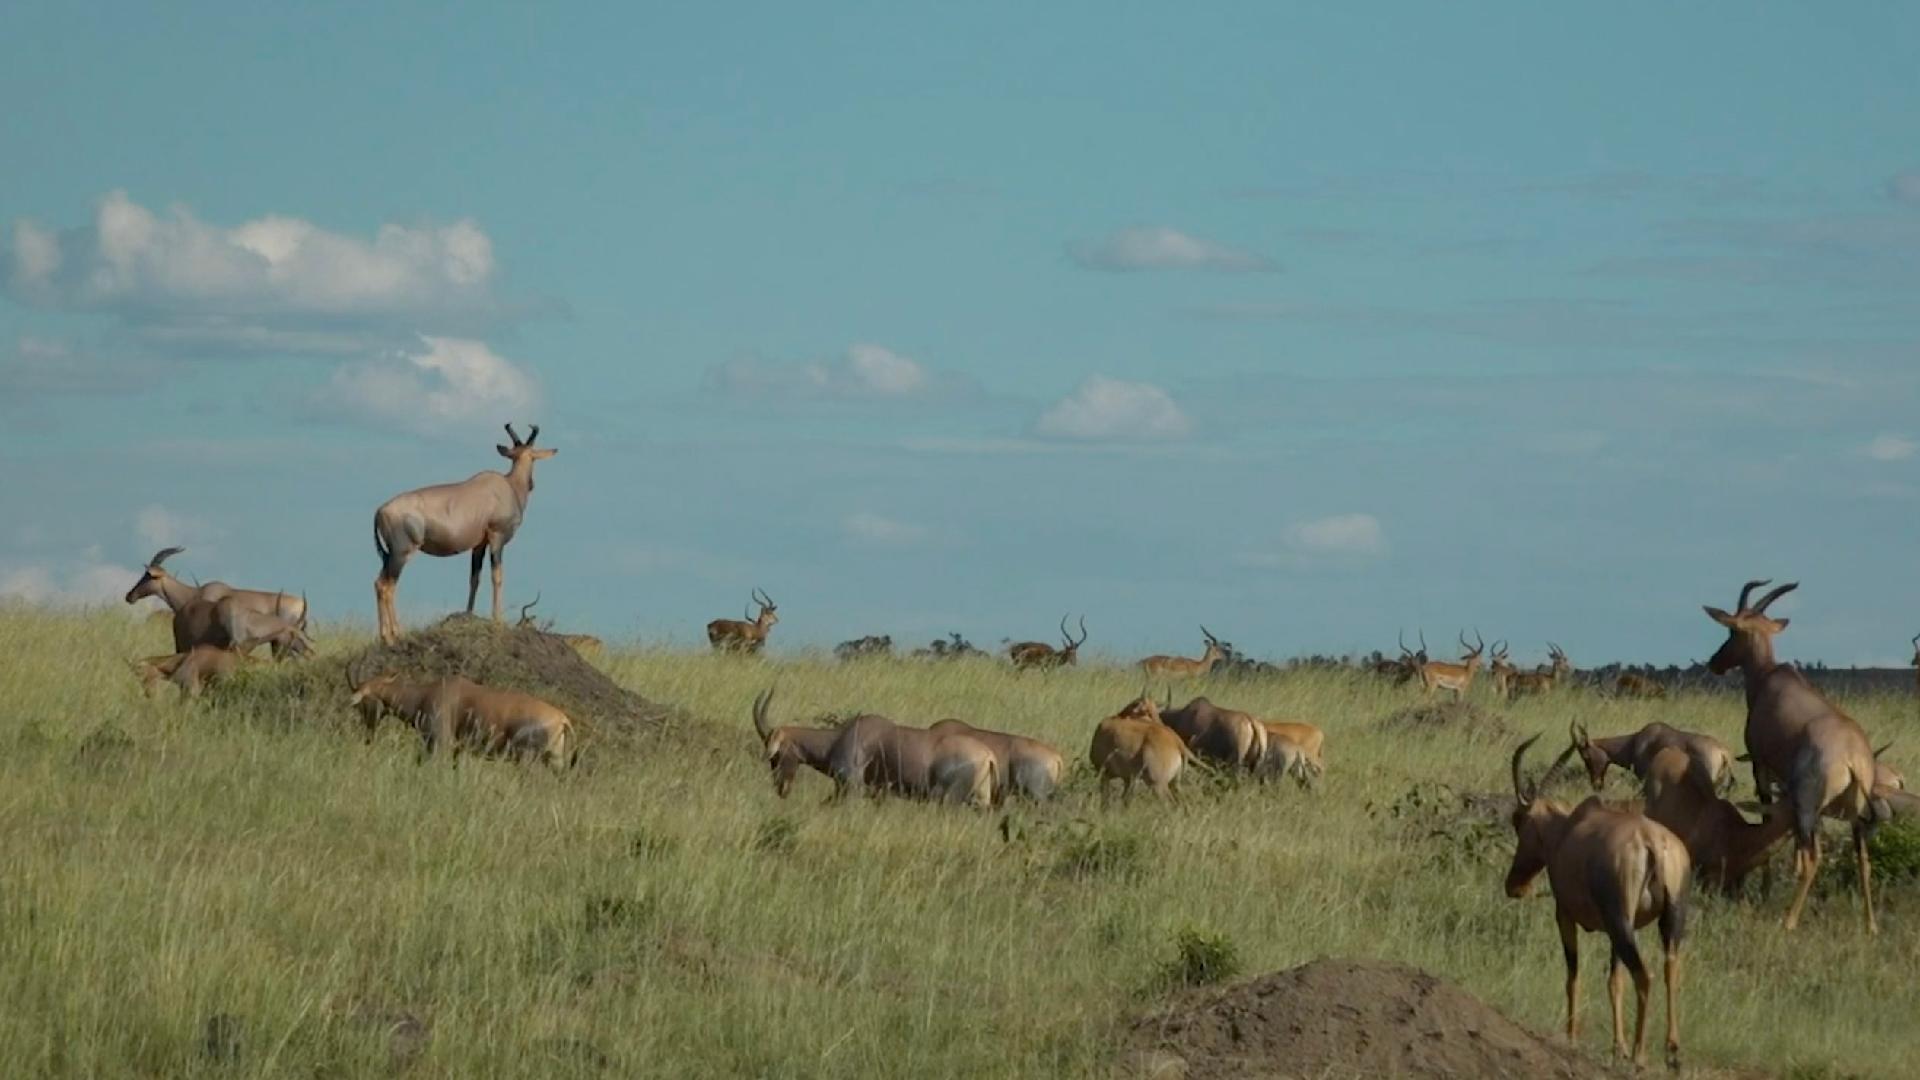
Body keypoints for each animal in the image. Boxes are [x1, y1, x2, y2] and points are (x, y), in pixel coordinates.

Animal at [370, 420, 560, 638]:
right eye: (532, 457)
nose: (532, 484)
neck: (508, 486)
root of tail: (380, 510)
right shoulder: (497, 538)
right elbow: (497, 576)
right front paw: (498, 620)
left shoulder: (479, 544)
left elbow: (474, 578)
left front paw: (469, 615)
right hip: (401, 554)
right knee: (388, 586)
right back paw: (395, 634)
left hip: (388, 555)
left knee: (379, 583)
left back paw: (385, 637)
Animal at [1505, 730, 1689, 1068]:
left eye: (1518, 821)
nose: (1515, 886)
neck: (1568, 828)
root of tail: (1652, 843)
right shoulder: (1613, 928)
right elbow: (1614, 982)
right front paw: (1618, 1046)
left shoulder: (1565, 915)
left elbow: (1573, 976)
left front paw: (1572, 1037)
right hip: (1665, 918)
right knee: (1670, 968)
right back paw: (1672, 1052)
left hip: (1622, 923)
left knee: (1644, 975)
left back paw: (1640, 1056)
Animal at [1704, 576, 1881, 930]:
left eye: (1732, 631)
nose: (1714, 663)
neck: (1771, 679)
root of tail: (1853, 757)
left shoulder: (1761, 766)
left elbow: (1767, 815)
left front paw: (1766, 890)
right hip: (1854, 812)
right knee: (1863, 858)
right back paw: (1871, 925)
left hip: (1808, 801)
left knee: (1816, 856)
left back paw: (1788, 920)